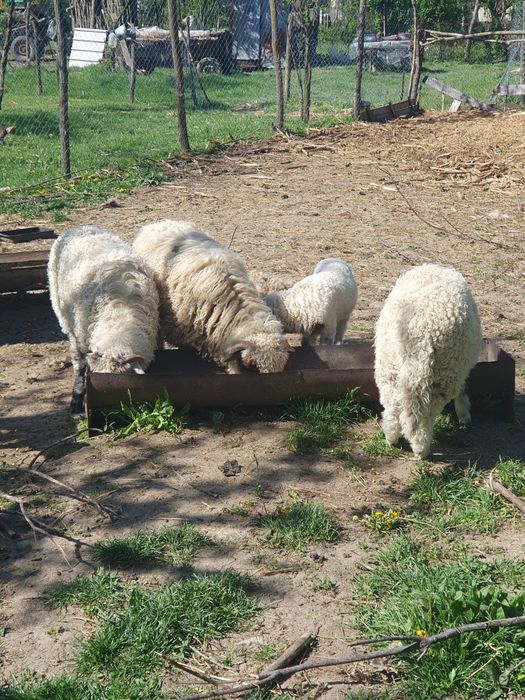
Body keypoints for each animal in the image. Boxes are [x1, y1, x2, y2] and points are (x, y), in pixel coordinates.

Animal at [374, 263, 482, 460]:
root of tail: (420, 332)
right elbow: (462, 390)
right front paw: (464, 416)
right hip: (444, 372)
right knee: (425, 412)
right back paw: (421, 448)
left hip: (388, 362)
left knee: (392, 402)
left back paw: (391, 437)